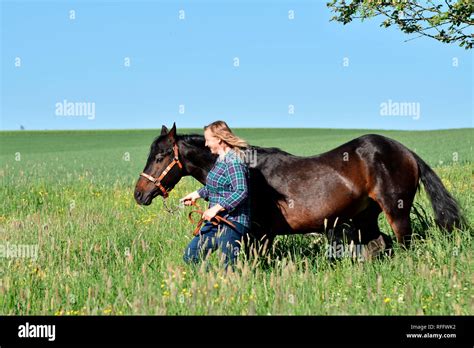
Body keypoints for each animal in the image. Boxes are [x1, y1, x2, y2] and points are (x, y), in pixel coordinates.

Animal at [132, 123, 462, 254]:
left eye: (161, 156)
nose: (139, 193)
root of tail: (406, 152)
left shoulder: (261, 232)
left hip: (397, 212)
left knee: (404, 243)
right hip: (365, 217)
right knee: (379, 244)